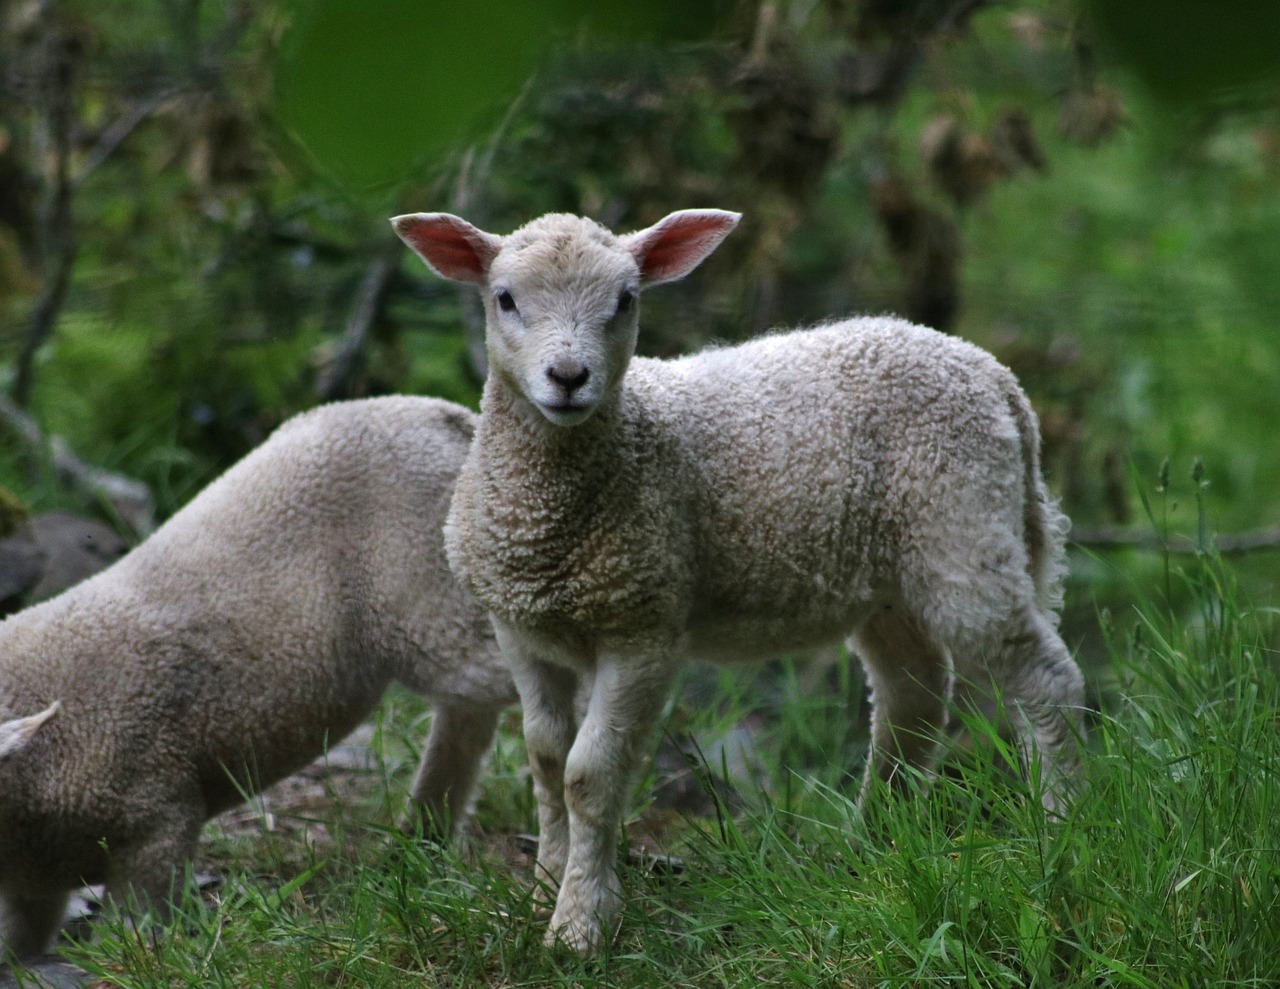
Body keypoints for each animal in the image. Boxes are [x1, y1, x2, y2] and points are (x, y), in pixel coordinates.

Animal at [0, 396, 517, 962]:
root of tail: (451, 417)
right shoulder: (34, 884)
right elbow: (23, 939)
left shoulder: (157, 812)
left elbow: (137, 919)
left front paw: (134, 954)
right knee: (470, 713)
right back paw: (424, 833)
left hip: (427, 593)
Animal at [392, 208, 1086, 954]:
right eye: (505, 299)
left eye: (626, 300)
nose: (569, 376)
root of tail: (991, 373)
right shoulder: (520, 629)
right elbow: (547, 762)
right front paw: (544, 890)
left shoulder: (643, 625)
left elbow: (589, 775)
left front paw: (580, 925)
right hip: (890, 578)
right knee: (913, 696)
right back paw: (875, 842)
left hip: (964, 529)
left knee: (1045, 680)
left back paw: (1061, 826)